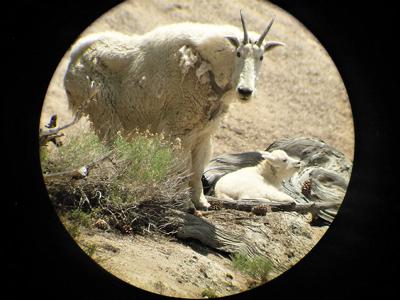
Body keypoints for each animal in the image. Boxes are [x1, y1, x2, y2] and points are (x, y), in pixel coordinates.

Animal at [64, 11, 284, 209]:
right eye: (238, 53)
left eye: (261, 57)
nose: (245, 91)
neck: (208, 67)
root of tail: (73, 61)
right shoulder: (180, 131)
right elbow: (181, 167)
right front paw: (185, 203)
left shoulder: (203, 134)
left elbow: (197, 169)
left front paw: (201, 203)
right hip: (103, 113)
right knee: (109, 148)